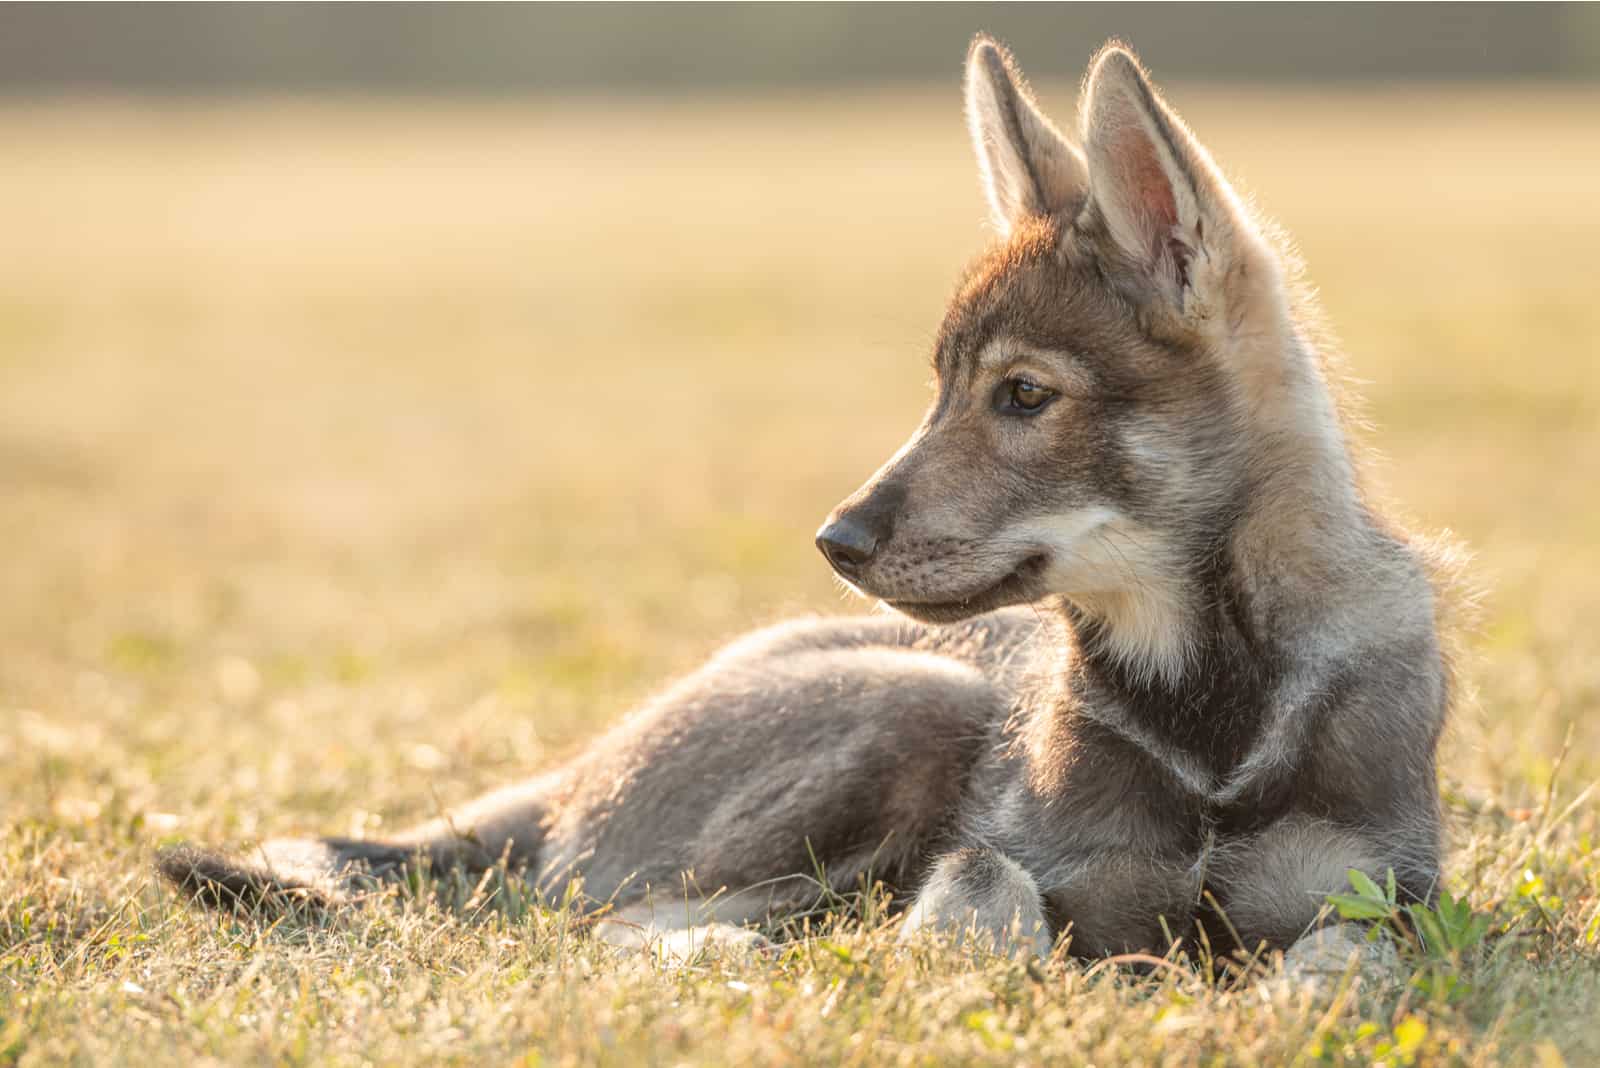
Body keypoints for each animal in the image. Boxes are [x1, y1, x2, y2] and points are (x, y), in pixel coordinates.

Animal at [159, 37, 1452, 965]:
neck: (1207, 713)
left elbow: (1347, 957)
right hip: (914, 705)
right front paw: (957, 960)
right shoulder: (1039, 864)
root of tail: (574, 769)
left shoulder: (1376, 895)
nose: (835, 540)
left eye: (1023, 395)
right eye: (937, 389)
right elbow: (981, 885)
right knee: (624, 924)